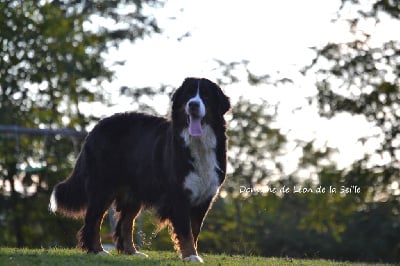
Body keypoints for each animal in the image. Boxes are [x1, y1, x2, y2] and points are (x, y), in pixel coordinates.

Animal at [50, 78, 231, 262]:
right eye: (188, 94)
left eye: (206, 95)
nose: (193, 104)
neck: (198, 143)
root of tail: (95, 128)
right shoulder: (178, 195)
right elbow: (186, 231)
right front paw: (190, 256)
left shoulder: (205, 196)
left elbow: (194, 230)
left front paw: (191, 254)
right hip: (103, 186)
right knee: (93, 220)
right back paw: (97, 250)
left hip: (133, 192)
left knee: (125, 223)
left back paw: (132, 252)